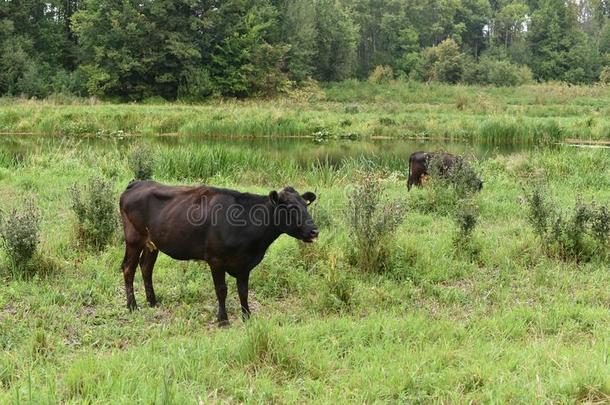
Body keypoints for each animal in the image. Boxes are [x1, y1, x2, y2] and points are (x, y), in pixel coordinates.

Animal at [119, 181, 318, 324]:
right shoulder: (216, 259)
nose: (314, 231)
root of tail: (138, 183)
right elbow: (221, 290)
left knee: (146, 267)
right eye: (290, 208)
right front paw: (223, 319)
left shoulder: (244, 264)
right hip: (134, 239)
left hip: (152, 243)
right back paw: (132, 306)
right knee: (129, 269)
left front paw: (247, 316)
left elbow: (243, 291)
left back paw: (152, 301)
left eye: (305, 205)